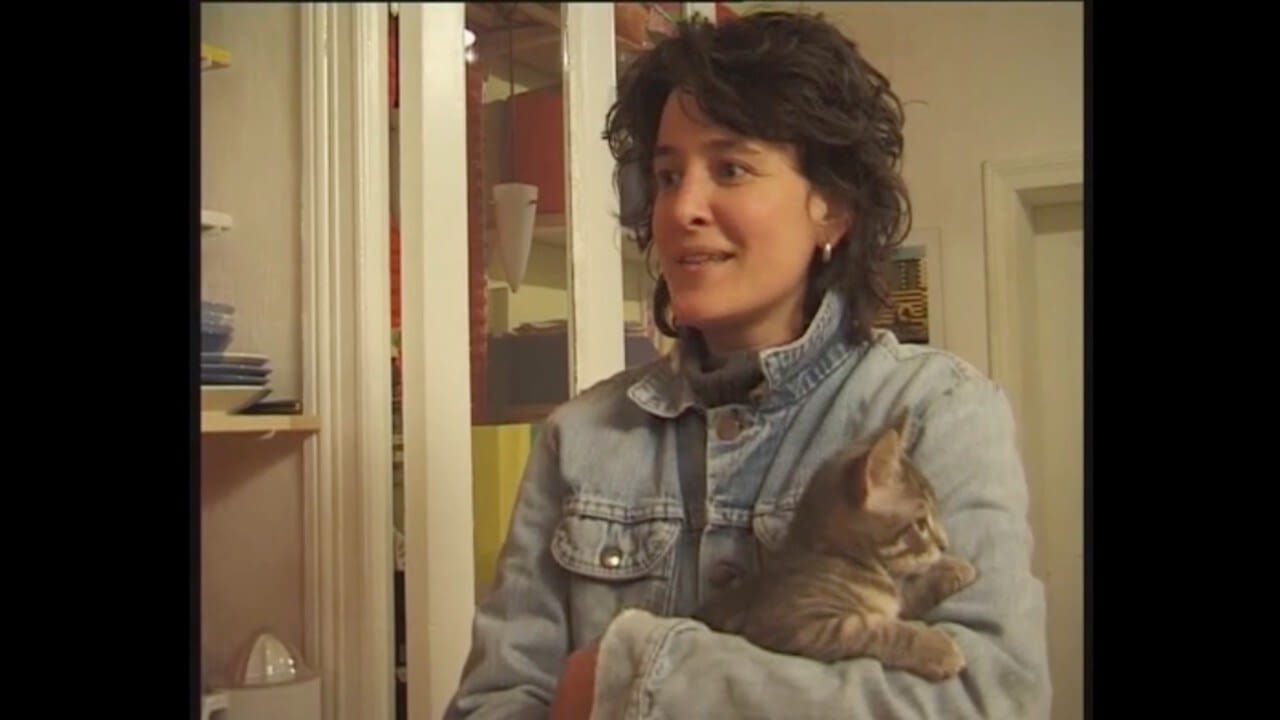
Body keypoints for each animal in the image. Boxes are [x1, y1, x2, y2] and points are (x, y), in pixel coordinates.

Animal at [692, 410, 978, 681]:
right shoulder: (788, 624)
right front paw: (935, 647)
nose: (945, 544)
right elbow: (872, 629)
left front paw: (952, 568)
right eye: (920, 524)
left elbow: (905, 597)